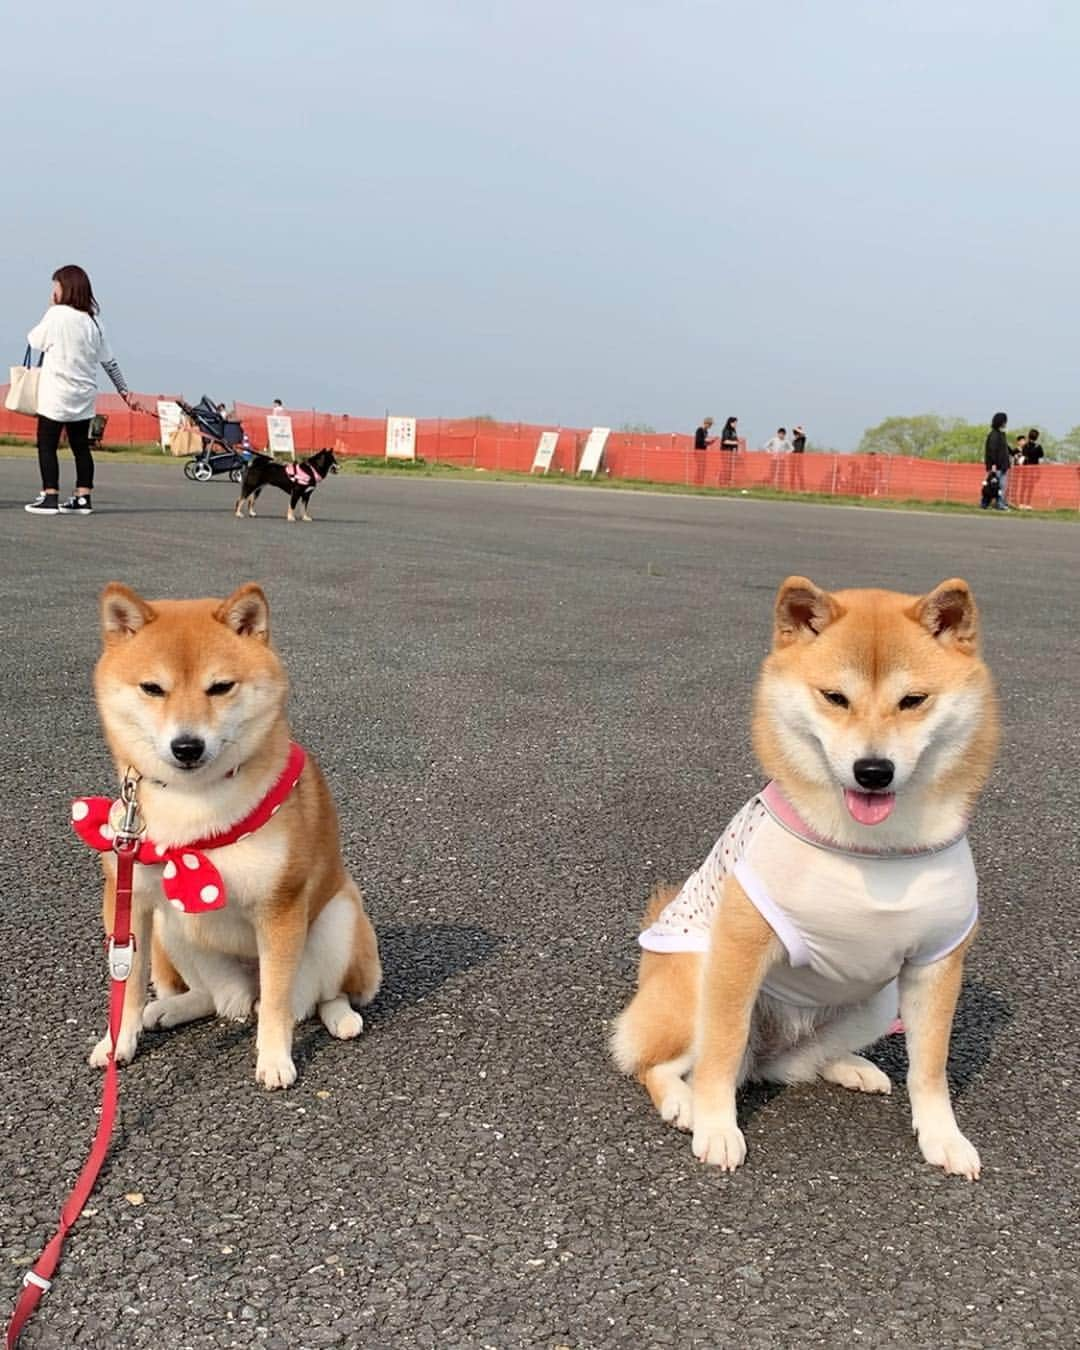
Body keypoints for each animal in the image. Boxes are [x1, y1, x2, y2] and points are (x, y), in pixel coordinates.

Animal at [84, 580, 380, 1085]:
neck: (194, 804)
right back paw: (170, 1009)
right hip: (172, 928)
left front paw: (275, 1059)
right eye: (153, 689)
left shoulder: (280, 906)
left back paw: (342, 1018)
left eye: (220, 687)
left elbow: (278, 1002)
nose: (186, 746)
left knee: (318, 996)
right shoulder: (131, 900)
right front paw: (116, 1043)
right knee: (215, 998)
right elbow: (127, 990)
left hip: (338, 919)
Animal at [612, 575, 999, 1177]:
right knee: (662, 1062)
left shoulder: (937, 963)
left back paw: (849, 1066)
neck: (874, 852)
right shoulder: (739, 949)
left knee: (793, 1064)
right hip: (696, 982)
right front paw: (717, 1127)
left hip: (878, 1004)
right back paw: (682, 1101)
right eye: (834, 698)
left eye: (913, 701)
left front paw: (943, 1136)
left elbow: (930, 1067)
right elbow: (721, 1054)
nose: (873, 770)